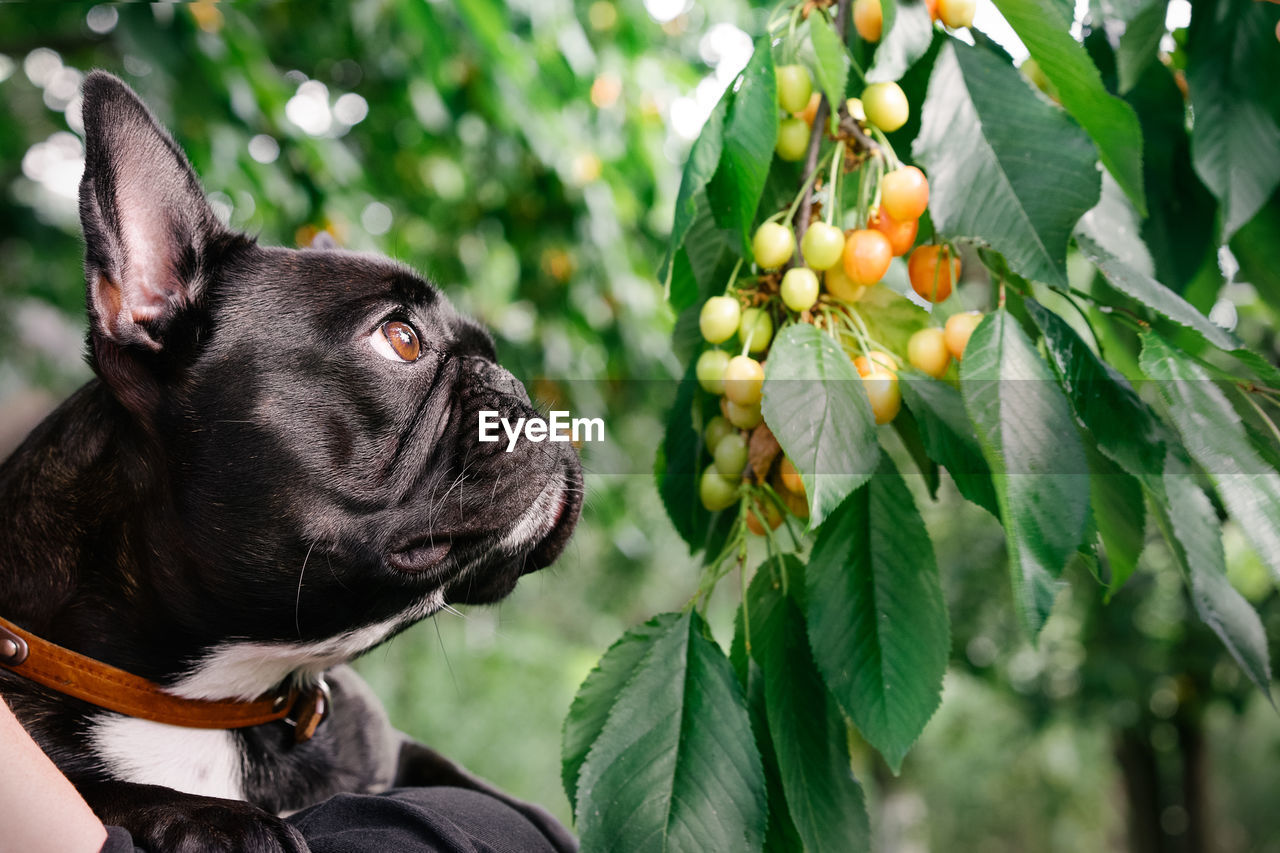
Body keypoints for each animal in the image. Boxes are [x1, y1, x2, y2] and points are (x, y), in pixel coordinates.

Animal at [0, 71, 581, 845]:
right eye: (401, 339)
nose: (514, 385)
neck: (212, 704)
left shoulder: (399, 746)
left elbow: (503, 795)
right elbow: (100, 787)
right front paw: (224, 821)